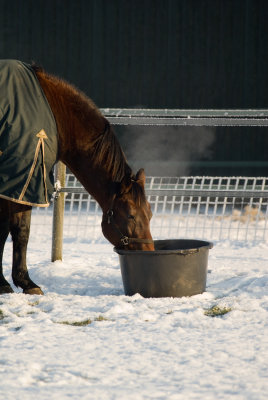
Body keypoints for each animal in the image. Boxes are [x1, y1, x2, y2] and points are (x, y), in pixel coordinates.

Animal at [0, 61, 154, 296]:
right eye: (130, 215)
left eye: (150, 213)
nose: (149, 251)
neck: (56, 115)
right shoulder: (24, 181)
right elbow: (20, 231)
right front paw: (25, 283)